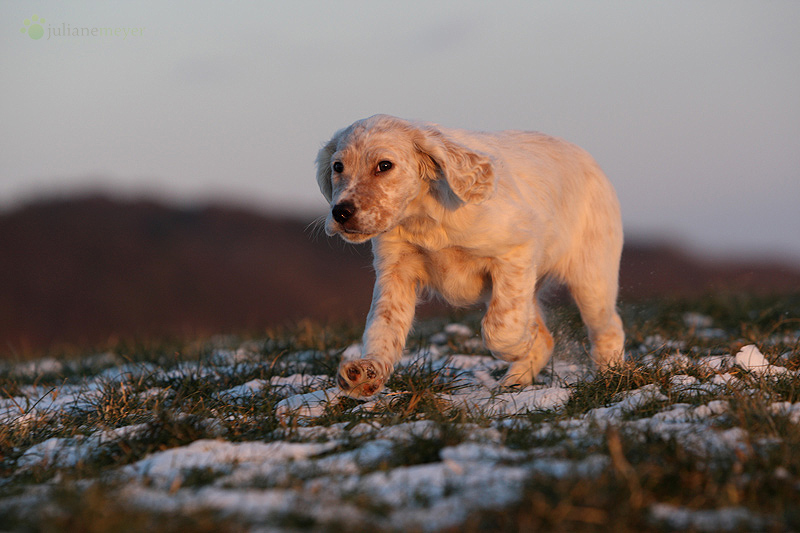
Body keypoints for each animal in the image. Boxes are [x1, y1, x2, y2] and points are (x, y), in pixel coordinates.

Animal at [314, 113, 624, 394]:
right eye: (338, 167)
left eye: (384, 166)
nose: (341, 212)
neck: (423, 219)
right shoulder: (396, 272)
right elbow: (383, 326)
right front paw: (367, 372)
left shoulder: (516, 249)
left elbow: (499, 326)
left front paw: (518, 345)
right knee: (547, 338)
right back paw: (511, 383)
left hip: (591, 275)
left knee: (608, 327)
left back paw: (610, 377)